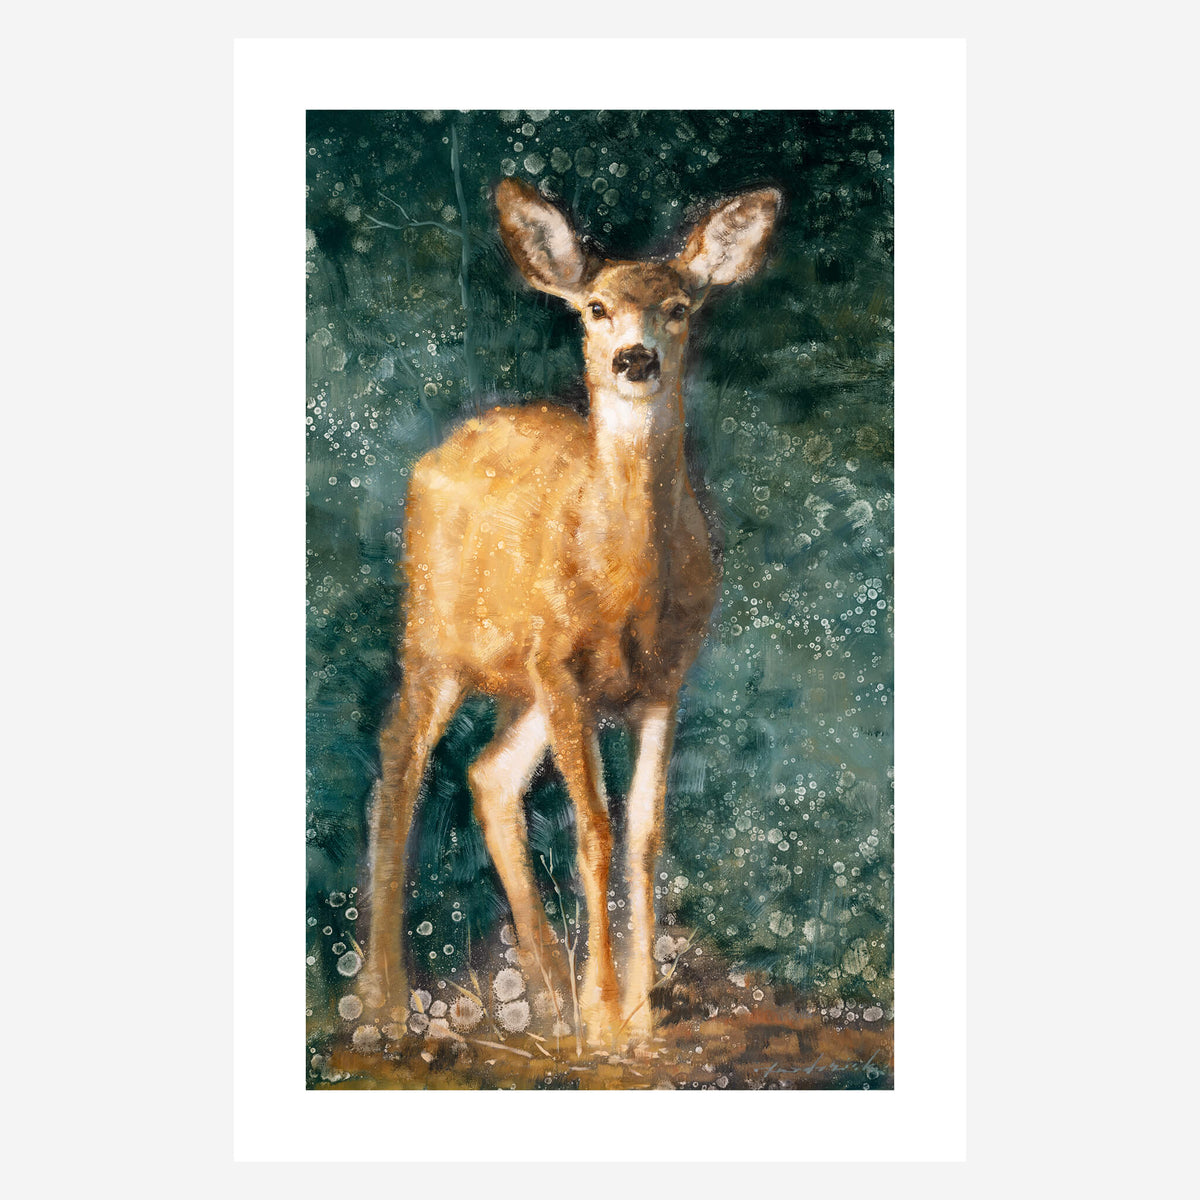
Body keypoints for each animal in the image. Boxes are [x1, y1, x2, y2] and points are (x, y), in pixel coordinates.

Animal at [359, 176, 781, 1048]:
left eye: (679, 307)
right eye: (595, 307)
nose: (635, 358)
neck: (626, 585)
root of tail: (444, 445)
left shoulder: (663, 682)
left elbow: (645, 834)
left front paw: (641, 1014)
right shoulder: (564, 670)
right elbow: (593, 831)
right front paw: (606, 1014)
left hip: (522, 681)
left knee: (488, 776)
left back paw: (547, 993)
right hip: (435, 639)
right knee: (399, 762)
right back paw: (387, 999)